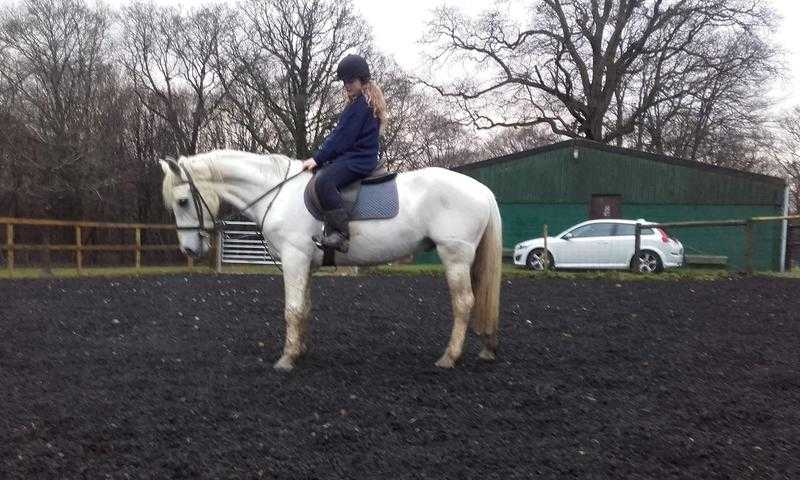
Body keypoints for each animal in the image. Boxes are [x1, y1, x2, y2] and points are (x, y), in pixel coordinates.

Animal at [159, 150, 504, 372]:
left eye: (183, 201)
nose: (189, 250)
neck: (276, 192)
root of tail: (482, 189)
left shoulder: (294, 258)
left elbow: (292, 309)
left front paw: (286, 359)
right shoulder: (306, 264)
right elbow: (305, 308)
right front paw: (300, 351)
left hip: (454, 255)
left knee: (464, 302)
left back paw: (450, 357)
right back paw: (487, 348)